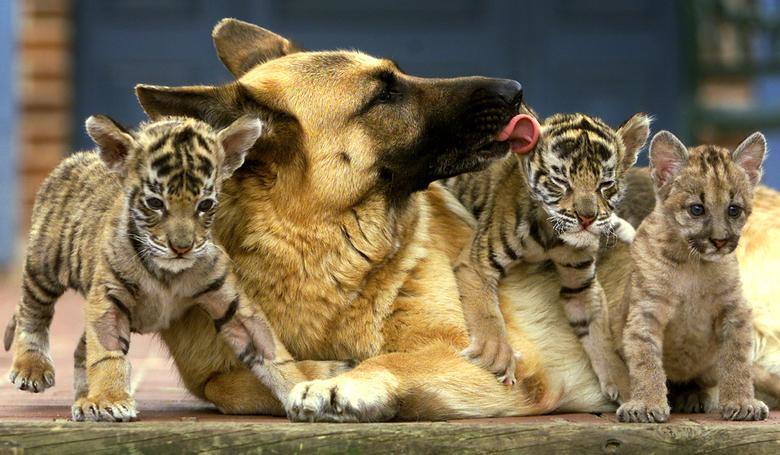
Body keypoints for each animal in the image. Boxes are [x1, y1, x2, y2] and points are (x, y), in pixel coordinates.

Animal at [137, 19, 780, 422]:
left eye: (395, 75)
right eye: (383, 94)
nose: (516, 88)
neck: (315, 244)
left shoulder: (509, 364)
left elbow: (396, 357)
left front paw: (344, 379)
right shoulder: (222, 371)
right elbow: (233, 382)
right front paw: (318, 371)